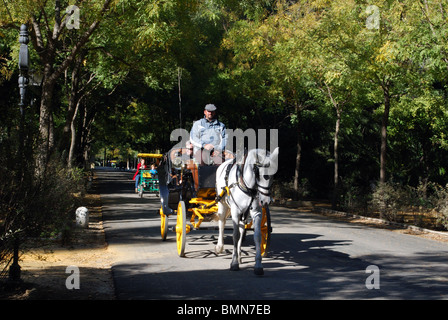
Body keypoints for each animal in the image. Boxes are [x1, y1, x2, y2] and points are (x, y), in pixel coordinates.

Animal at [215, 148, 278, 276]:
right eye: (262, 175)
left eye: (273, 176)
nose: (266, 201)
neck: (246, 185)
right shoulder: (235, 211)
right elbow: (235, 235)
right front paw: (234, 263)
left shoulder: (256, 213)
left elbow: (257, 236)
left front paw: (258, 265)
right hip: (223, 205)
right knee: (222, 223)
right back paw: (220, 246)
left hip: (245, 213)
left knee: (241, 228)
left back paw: (239, 255)